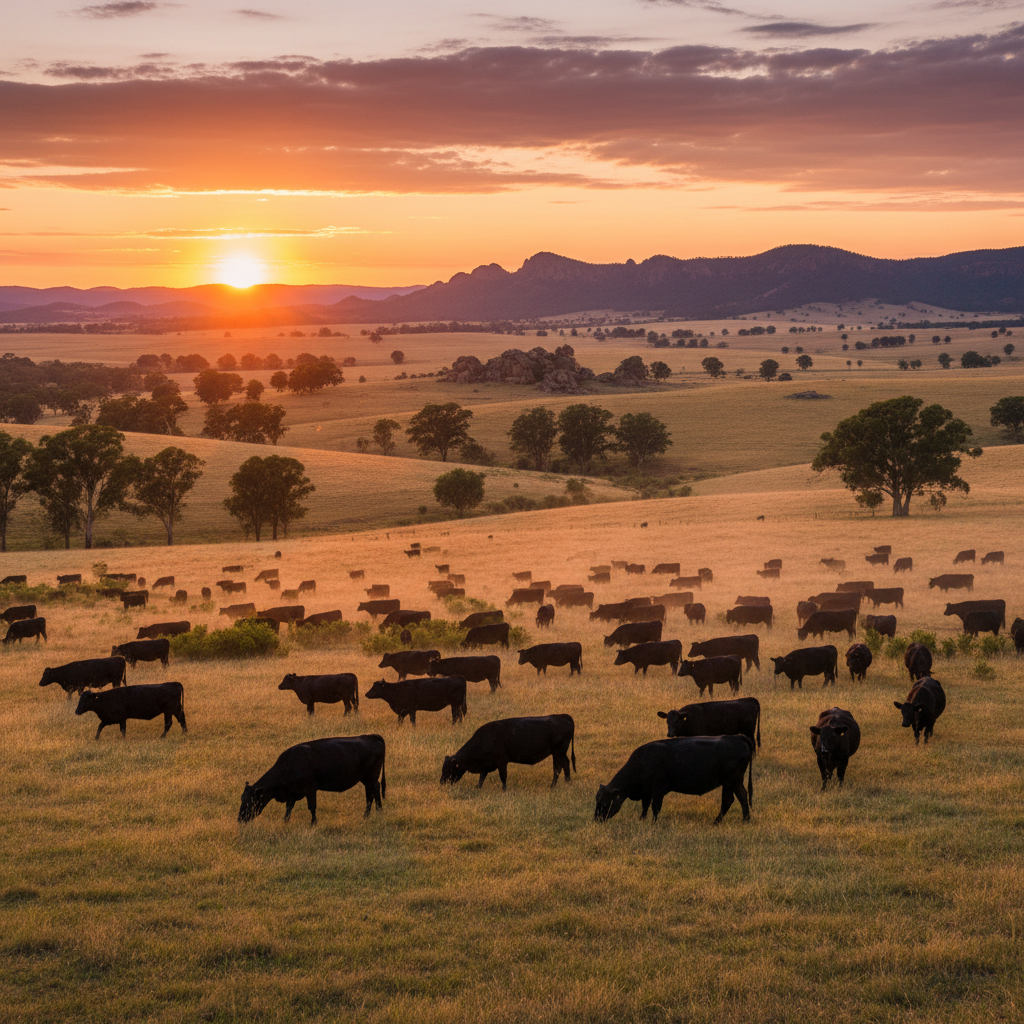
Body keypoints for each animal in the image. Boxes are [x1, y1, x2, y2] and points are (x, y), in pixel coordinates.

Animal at [238, 735, 386, 824]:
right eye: (242, 798)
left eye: (251, 800)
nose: (240, 819)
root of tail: (371, 736)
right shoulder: (292, 792)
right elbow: (289, 808)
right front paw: (285, 821)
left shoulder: (310, 789)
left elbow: (312, 807)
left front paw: (313, 823)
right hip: (368, 780)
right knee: (375, 790)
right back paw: (378, 812)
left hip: (370, 778)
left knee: (371, 794)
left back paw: (367, 815)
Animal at [441, 715, 575, 790]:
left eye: (449, 769)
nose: (441, 782)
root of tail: (563, 716)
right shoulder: (486, 765)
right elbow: (482, 777)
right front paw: (478, 787)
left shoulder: (502, 762)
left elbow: (503, 776)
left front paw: (504, 789)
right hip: (560, 753)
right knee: (565, 764)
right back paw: (567, 782)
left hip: (557, 753)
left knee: (558, 768)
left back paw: (553, 786)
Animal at [594, 736, 753, 824]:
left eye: (605, 803)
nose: (596, 820)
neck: (643, 760)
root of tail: (737, 737)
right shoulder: (647, 791)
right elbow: (645, 807)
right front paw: (642, 820)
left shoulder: (658, 790)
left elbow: (655, 807)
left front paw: (653, 823)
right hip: (734, 782)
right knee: (741, 796)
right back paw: (745, 820)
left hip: (730, 781)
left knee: (729, 800)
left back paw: (718, 822)